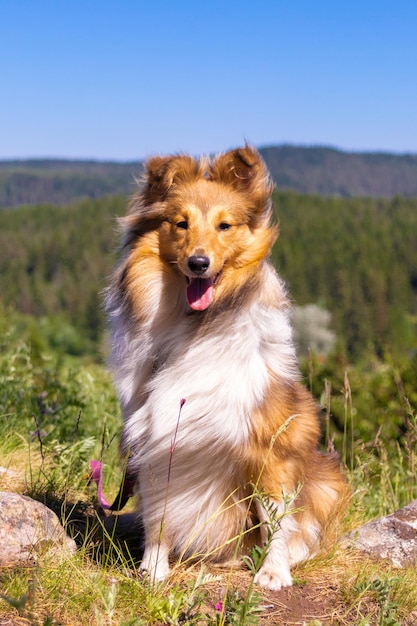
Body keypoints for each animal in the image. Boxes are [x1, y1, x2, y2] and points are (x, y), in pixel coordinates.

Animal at [105, 144, 346, 588]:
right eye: (180, 223)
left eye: (225, 225)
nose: (198, 263)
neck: (195, 325)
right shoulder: (155, 436)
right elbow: (159, 513)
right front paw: (153, 569)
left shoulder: (268, 444)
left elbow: (276, 517)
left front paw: (273, 572)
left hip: (326, 478)